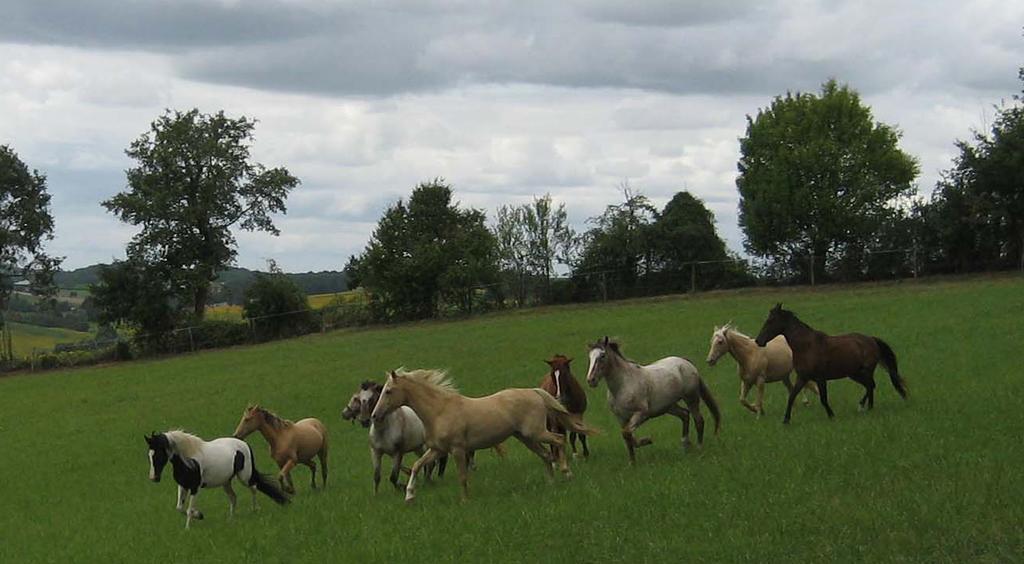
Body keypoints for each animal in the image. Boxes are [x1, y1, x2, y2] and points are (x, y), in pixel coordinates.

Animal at [144, 431, 290, 528]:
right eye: (149, 455)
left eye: (157, 455)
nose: (153, 478)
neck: (189, 459)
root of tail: (244, 443)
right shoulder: (183, 485)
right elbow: (180, 507)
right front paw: (199, 515)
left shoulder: (195, 488)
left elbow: (189, 509)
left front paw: (188, 527)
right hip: (226, 482)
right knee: (233, 497)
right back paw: (231, 519)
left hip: (244, 476)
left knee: (253, 488)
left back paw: (255, 510)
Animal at [370, 370, 598, 503]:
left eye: (388, 391)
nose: (374, 415)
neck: (439, 410)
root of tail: (534, 392)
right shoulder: (437, 450)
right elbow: (417, 465)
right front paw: (409, 495)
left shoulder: (458, 449)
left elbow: (462, 476)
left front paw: (464, 501)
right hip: (525, 437)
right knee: (545, 455)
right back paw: (550, 482)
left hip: (536, 432)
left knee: (558, 440)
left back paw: (567, 473)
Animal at [585, 337, 720, 464]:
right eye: (590, 357)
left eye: (602, 356)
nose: (591, 380)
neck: (623, 385)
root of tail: (685, 362)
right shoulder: (621, 418)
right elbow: (626, 436)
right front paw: (632, 463)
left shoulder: (642, 414)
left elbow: (628, 433)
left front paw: (647, 440)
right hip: (669, 406)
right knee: (685, 414)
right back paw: (685, 445)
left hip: (691, 398)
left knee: (698, 420)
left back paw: (699, 447)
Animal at [753, 305, 913, 423]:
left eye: (770, 321)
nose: (759, 341)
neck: (806, 346)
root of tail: (871, 339)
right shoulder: (803, 377)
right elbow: (792, 396)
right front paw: (786, 420)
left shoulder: (820, 378)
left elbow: (823, 399)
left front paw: (831, 416)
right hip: (854, 374)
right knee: (870, 386)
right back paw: (869, 408)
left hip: (865, 371)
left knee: (870, 386)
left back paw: (863, 407)